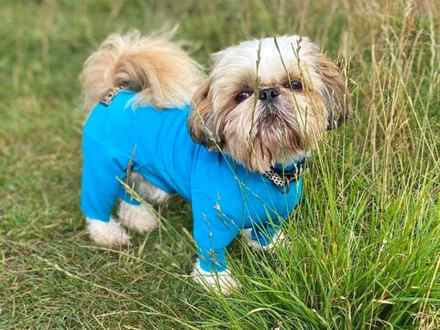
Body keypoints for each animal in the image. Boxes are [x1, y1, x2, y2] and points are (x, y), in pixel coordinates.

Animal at [79, 31, 350, 294]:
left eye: (295, 84)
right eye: (242, 95)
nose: (268, 93)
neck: (266, 171)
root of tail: (114, 93)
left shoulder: (271, 215)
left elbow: (265, 233)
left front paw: (272, 245)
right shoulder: (212, 220)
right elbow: (211, 250)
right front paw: (217, 281)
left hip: (135, 169)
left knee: (128, 191)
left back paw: (139, 217)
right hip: (101, 169)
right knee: (96, 203)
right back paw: (108, 233)